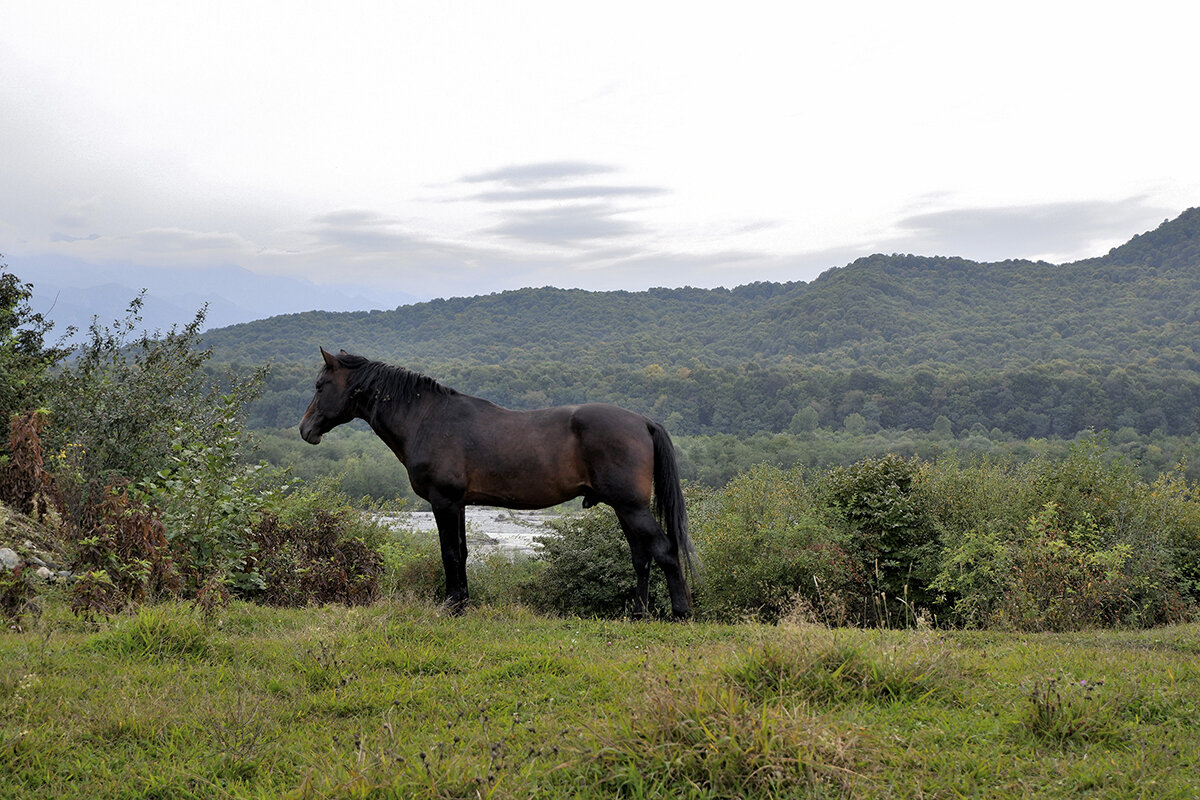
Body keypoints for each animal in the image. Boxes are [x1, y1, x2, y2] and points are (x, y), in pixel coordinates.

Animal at [296, 345, 700, 618]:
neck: (428, 419)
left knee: (663, 551)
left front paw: (451, 607)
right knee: (641, 557)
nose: (305, 430)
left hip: (632, 507)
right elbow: (462, 553)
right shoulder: (458, 504)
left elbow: (450, 553)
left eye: (320, 385)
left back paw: (680, 612)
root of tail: (642, 421)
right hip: (624, 508)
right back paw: (638, 613)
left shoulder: (443, 501)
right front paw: (462, 603)